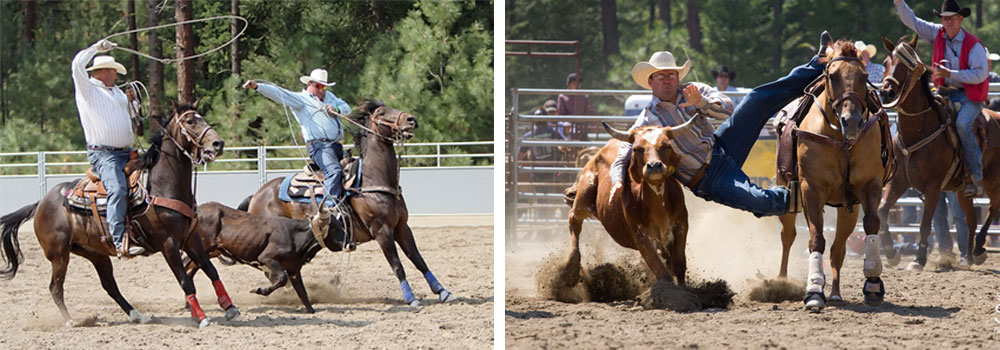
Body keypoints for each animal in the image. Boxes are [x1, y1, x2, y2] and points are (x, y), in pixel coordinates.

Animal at [0, 102, 240, 326]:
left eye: (203, 117)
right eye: (190, 121)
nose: (218, 144)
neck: (160, 186)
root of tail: (41, 203)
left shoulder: (190, 237)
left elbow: (210, 269)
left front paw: (230, 308)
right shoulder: (168, 243)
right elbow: (185, 280)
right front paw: (202, 318)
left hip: (94, 252)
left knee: (109, 285)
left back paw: (137, 315)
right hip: (59, 254)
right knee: (55, 287)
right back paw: (70, 321)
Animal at [242, 99, 458, 306]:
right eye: (382, 112)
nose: (411, 120)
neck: (372, 180)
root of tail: (257, 194)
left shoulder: (402, 227)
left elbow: (418, 260)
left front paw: (443, 291)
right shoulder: (382, 231)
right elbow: (397, 266)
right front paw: (411, 298)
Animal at [772, 40, 892, 308]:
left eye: (865, 76)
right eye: (833, 76)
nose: (853, 121)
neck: (840, 139)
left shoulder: (870, 185)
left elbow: (871, 224)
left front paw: (873, 281)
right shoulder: (811, 189)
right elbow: (816, 239)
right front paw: (815, 289)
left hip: (848, 209)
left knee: (838, 250)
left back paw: (835, 291)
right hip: (786, 193)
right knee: (788, 236)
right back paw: (781, 282)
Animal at [876, 35, 992, 268]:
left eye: (907, 66)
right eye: (885, 62)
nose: (886, 92)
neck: (918, 130)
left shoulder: (933, 187)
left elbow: (924, 223)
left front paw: (918, 259)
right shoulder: (899, 180)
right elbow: (882, 211)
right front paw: (891, 254)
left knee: (992, 210)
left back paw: (979, 248)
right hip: (962, 191)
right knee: (971, 220)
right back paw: (969, 256)